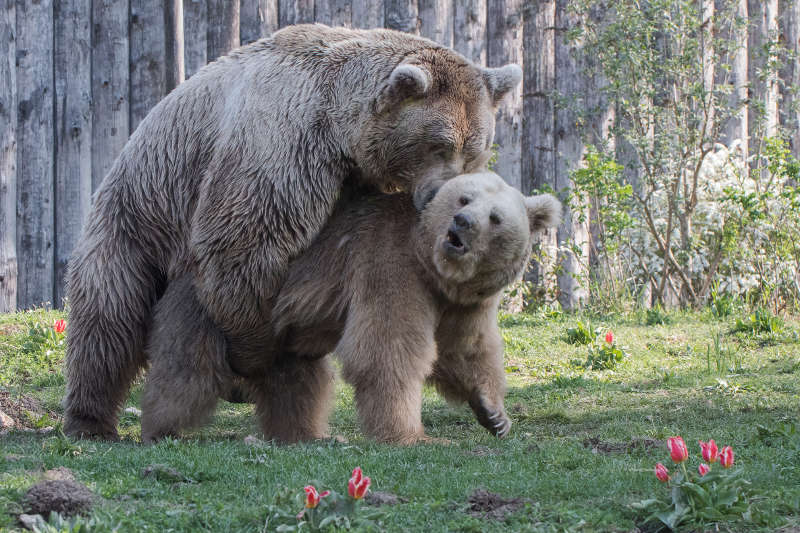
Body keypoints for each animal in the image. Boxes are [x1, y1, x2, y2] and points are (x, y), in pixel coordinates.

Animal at [64, 25, 524, 438]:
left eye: (475, 150)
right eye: (439, 145)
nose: (436, 196)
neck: (340, 126)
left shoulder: (353, 179)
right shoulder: (283, 149)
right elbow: (242, 244)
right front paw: (248, 358)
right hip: (137, 219)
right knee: (108, 319)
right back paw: (90, 421)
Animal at [139, 172, 564, 442]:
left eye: (495, 217)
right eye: (464, 198)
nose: (461, 223)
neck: (433, 269)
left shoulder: (462, 303)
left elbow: (466, 349)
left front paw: (495, 415)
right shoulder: (389, 265)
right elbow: (388, 350)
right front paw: (411, 435)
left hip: (281, 338)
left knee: (298, 384)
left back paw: (306, 434)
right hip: (210, 309)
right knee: (187, 371)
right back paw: (162, 429)